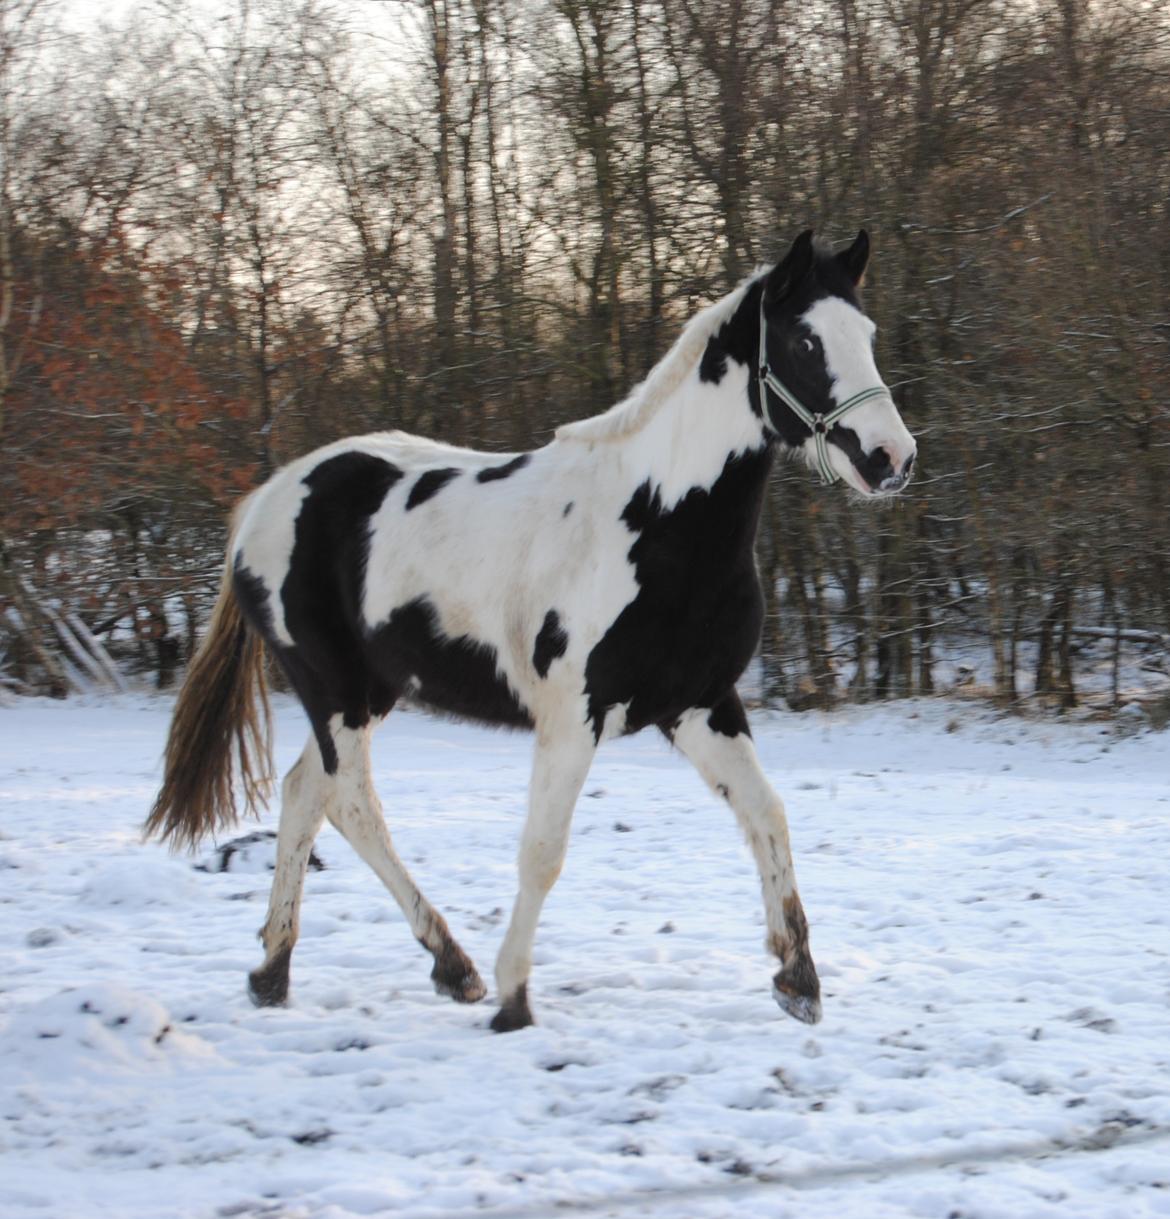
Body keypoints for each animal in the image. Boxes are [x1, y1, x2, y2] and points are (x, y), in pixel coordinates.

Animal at [143, 226, 916, 1028]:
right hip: (335, 691)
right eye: (804, 340)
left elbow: (767, 813)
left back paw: (280, 970)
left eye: (866, 334)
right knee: (353, 803)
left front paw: (799, 978)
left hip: (370, 691)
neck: (659, 526)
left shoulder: (701, 705)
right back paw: (453, 967)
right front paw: (514, 995)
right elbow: (543, 851)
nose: (891, 459)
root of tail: (264, 503)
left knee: (303, 795)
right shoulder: (572, 718)